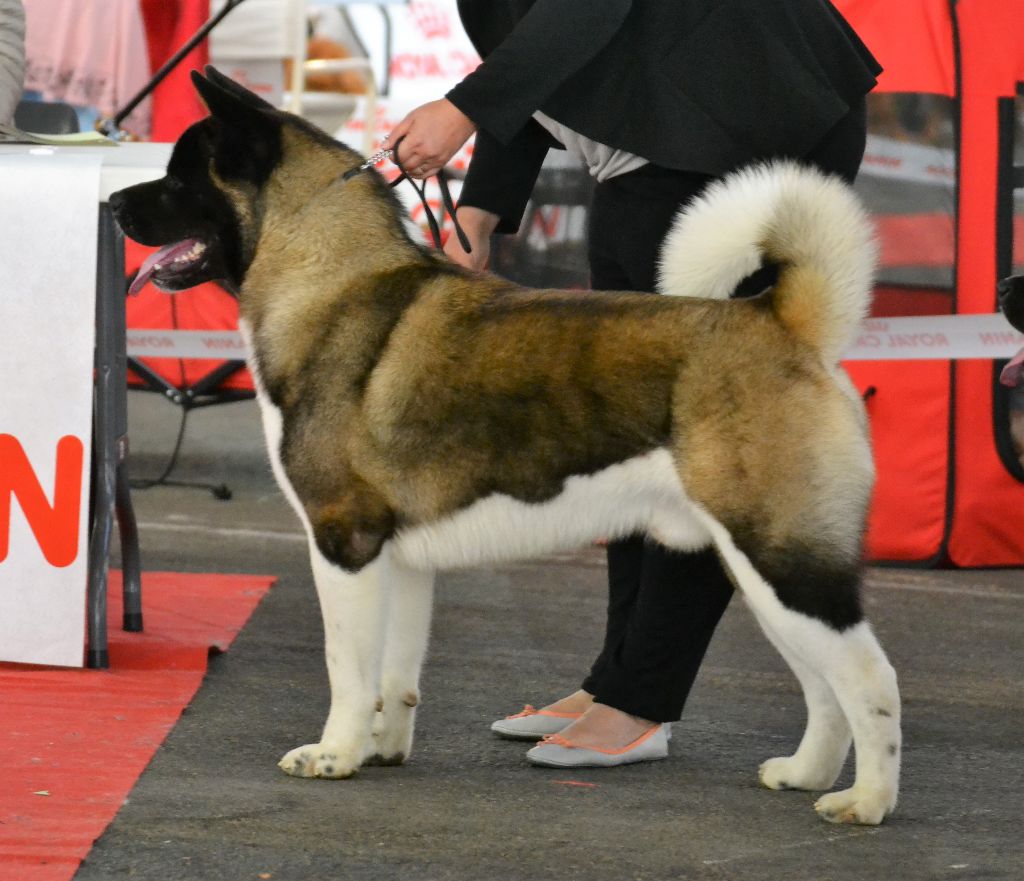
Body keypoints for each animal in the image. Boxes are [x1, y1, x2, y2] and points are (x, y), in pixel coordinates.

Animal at [108, 67, 901, 827]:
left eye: (178, 177)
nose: (113, 202)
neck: (325, 277)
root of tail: (785, 324)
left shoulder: (345, 540)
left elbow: (347, 665)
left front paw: (334, 755)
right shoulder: (400, 559)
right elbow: (394, 675)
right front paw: (381, 750)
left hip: (782, 558)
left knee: (870, 679)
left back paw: (865, 803)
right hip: (758, 568)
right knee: (823, 684)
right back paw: (805, 774)